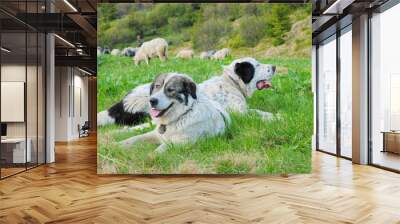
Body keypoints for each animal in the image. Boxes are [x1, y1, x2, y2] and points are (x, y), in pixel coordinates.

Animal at [98, 57, 276, 128]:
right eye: (256, 65)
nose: (274, 67)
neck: (231, 82)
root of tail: (120, 105)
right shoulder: (240, 112)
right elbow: (260, 113)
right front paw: (277, 116)